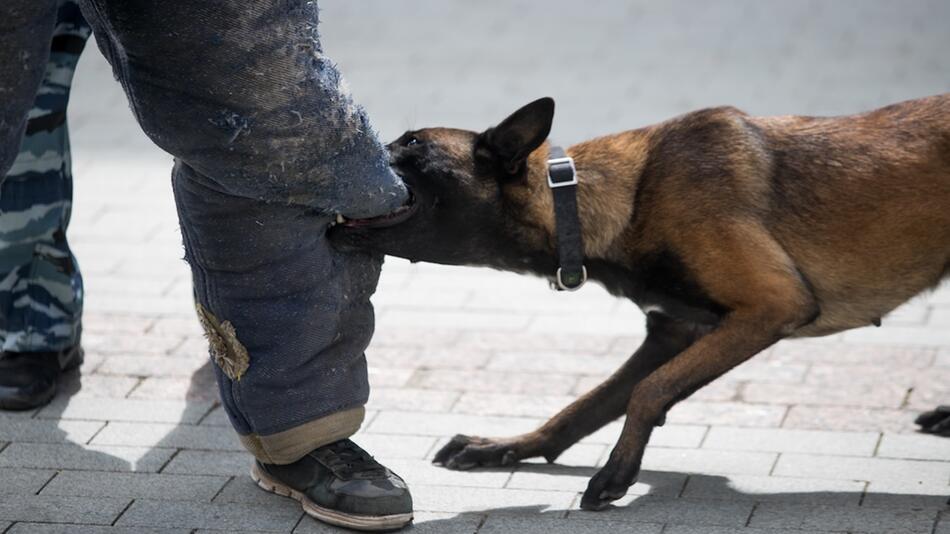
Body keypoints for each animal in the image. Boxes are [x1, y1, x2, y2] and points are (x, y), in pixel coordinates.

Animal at [332, 95, 950, 510]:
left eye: (412, 143)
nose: (347, 145)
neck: (617, 199)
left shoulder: (771, 308)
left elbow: (647, 392)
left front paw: (617, 472)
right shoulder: (674, 332)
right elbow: (587, 405)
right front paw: (510, 446)